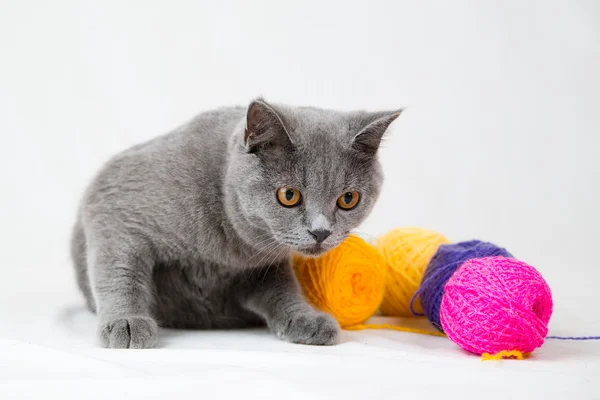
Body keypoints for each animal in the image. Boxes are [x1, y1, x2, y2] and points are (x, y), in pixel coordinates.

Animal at [70, 99, 400, 346]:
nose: (320, 232)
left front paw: (305, 319)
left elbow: (282, 289)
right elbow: (121, 272)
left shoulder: (265, 265)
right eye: (289, 195)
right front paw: (126, 322)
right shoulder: (116, 209)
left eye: (348, 199)